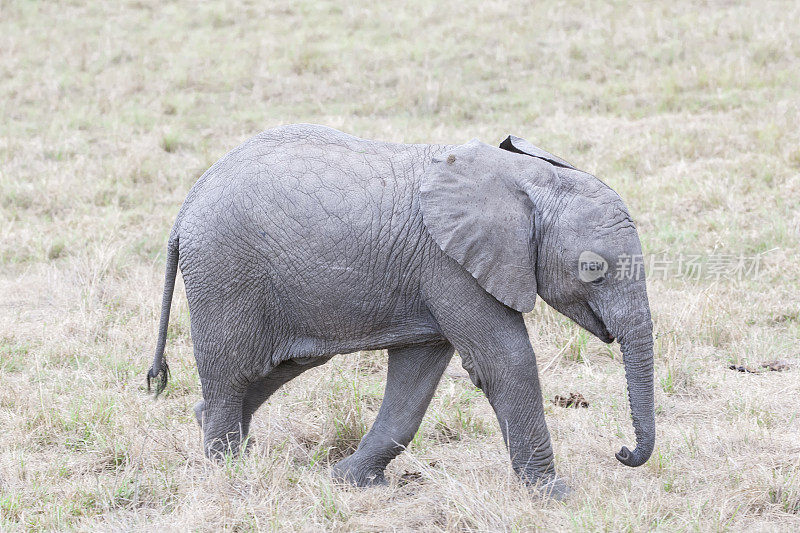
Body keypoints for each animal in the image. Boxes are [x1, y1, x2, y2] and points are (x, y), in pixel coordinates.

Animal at [147, 123, 652, 494]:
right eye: (592, 268)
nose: (623, 453)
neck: (524, 177)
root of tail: (185, 206)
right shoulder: (451, 265)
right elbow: (505, 362)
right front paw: (555, 495)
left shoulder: (438, 273)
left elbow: (418, 376)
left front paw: (350, 482)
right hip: (224, 273)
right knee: (231, 370)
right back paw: (229, 471)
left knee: (278, 365)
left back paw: (220, 437)